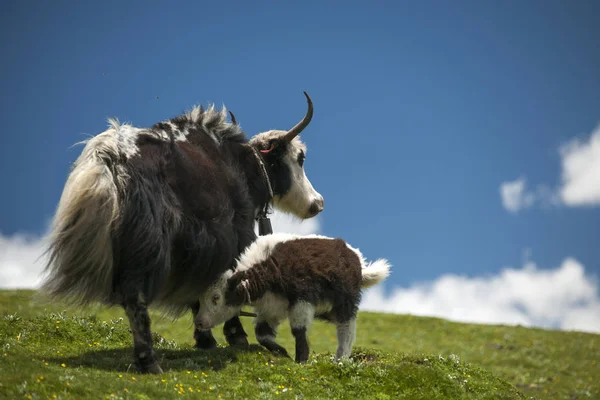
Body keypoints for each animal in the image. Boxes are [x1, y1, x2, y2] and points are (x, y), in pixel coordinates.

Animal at [195, 234, 392, 362]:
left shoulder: (301, 299)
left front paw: (301, 359)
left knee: (346, 327)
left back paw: (341, 359)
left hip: (345, 300)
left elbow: (298, 330)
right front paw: (282, 352)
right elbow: (262, 334)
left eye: (216, 298)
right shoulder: (271, 309)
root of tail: (358, 261)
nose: (199, 322)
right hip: (327, 309)